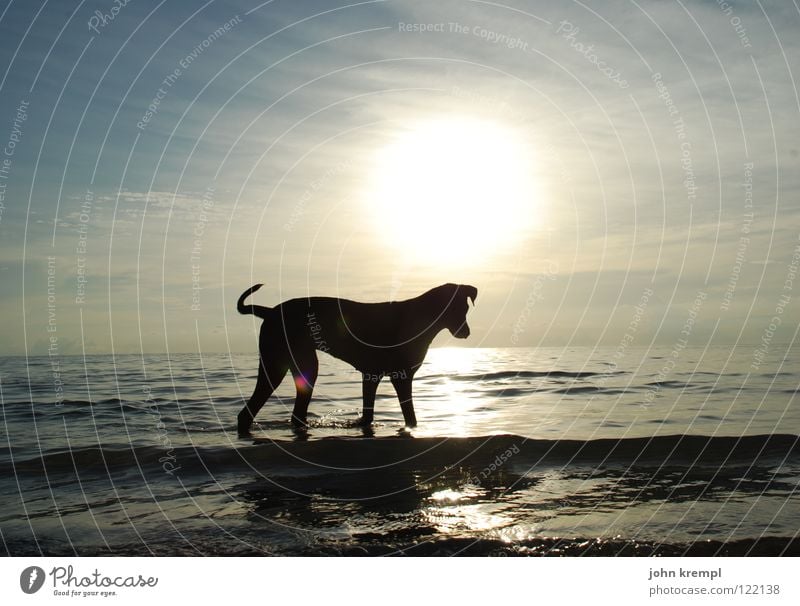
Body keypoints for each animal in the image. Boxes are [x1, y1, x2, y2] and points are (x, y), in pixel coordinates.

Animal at [236, 284, 476, 436]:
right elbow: (410, 415)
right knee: (250, 412)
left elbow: (368, 415)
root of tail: (269, 312)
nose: (466, 333)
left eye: (465, 308)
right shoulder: (401, 377)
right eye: (457, 308)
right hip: (282, 364)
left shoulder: (371, 376)